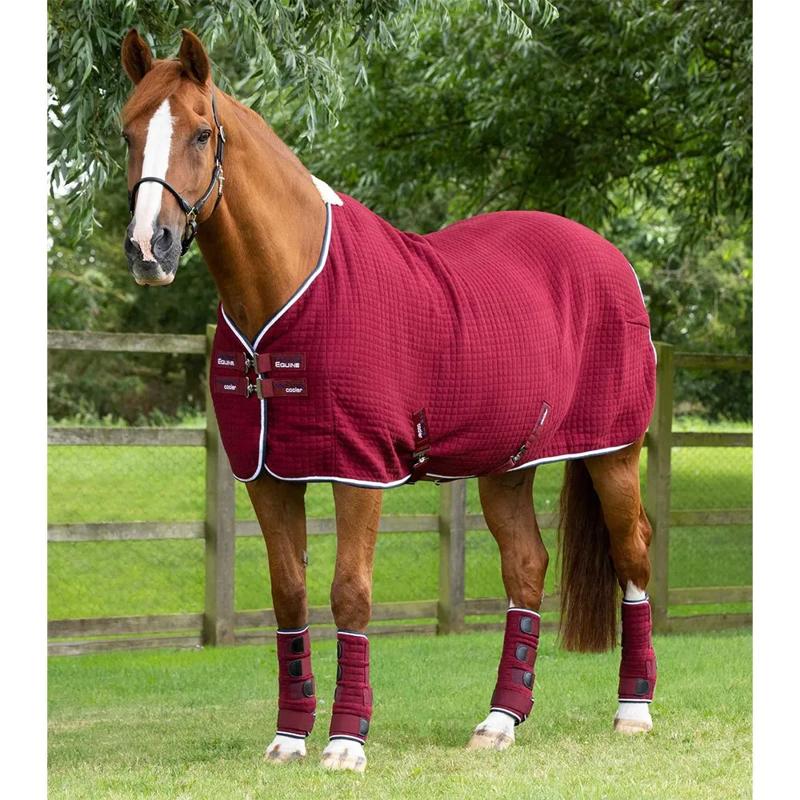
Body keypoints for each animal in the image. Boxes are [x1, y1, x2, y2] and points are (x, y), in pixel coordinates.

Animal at [120, 28, 658, 773]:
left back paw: (634, 712)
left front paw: (347, 743)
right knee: (526, 569)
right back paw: (499, 722)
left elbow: (350, 594)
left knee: (634, 554)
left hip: (614, 452)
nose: (151, 248)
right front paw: (290, 738)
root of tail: (613, 259)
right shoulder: (266, 477)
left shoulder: (359, 469)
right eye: (127, 132)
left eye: (201, 132)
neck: (290, 288)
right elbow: (289, 595)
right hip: (507, 465)